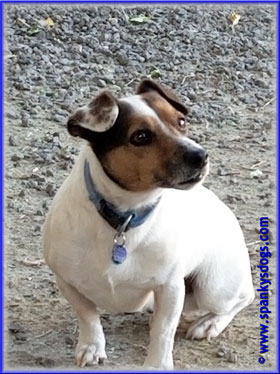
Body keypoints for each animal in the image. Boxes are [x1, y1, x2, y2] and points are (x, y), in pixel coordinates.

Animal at [42, 79, 255, 368]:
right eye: (140, 136)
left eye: (181, 122)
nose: (201, 155)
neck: (124, 219)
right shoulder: (67, 281)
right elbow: (87, 316)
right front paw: (92, 346)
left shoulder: (170, 286)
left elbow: (163, 333)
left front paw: (157, 365)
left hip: (213, 288)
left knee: (244, 298)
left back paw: (209, 323)